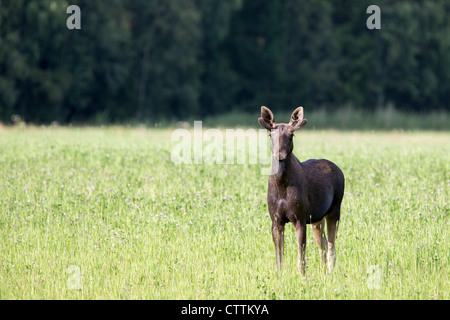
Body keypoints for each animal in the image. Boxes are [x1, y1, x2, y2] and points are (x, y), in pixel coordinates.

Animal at [256, 106, 344, 274]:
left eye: (291, 135)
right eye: (270, 134)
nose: (280, 155)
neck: (282, 187)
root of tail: (340, 170)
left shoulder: (300, 218)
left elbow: (301, 260)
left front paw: (303, 277)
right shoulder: (276, 219)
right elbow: (279, 260)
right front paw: (279, 277)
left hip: (335, 209)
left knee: (331, 247)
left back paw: (330, 273)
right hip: (317, 218)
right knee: (323, 245)